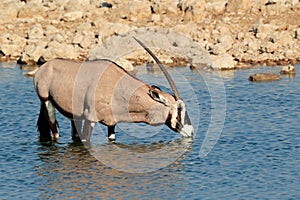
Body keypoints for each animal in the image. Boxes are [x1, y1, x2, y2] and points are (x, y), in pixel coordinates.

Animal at [34, 36, 193, 141]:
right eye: (179, 109)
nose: (191, 132)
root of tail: (44, 67)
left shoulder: (112, 123)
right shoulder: (91, 119)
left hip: (75, 115)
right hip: (46, 101)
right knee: (55, 133)